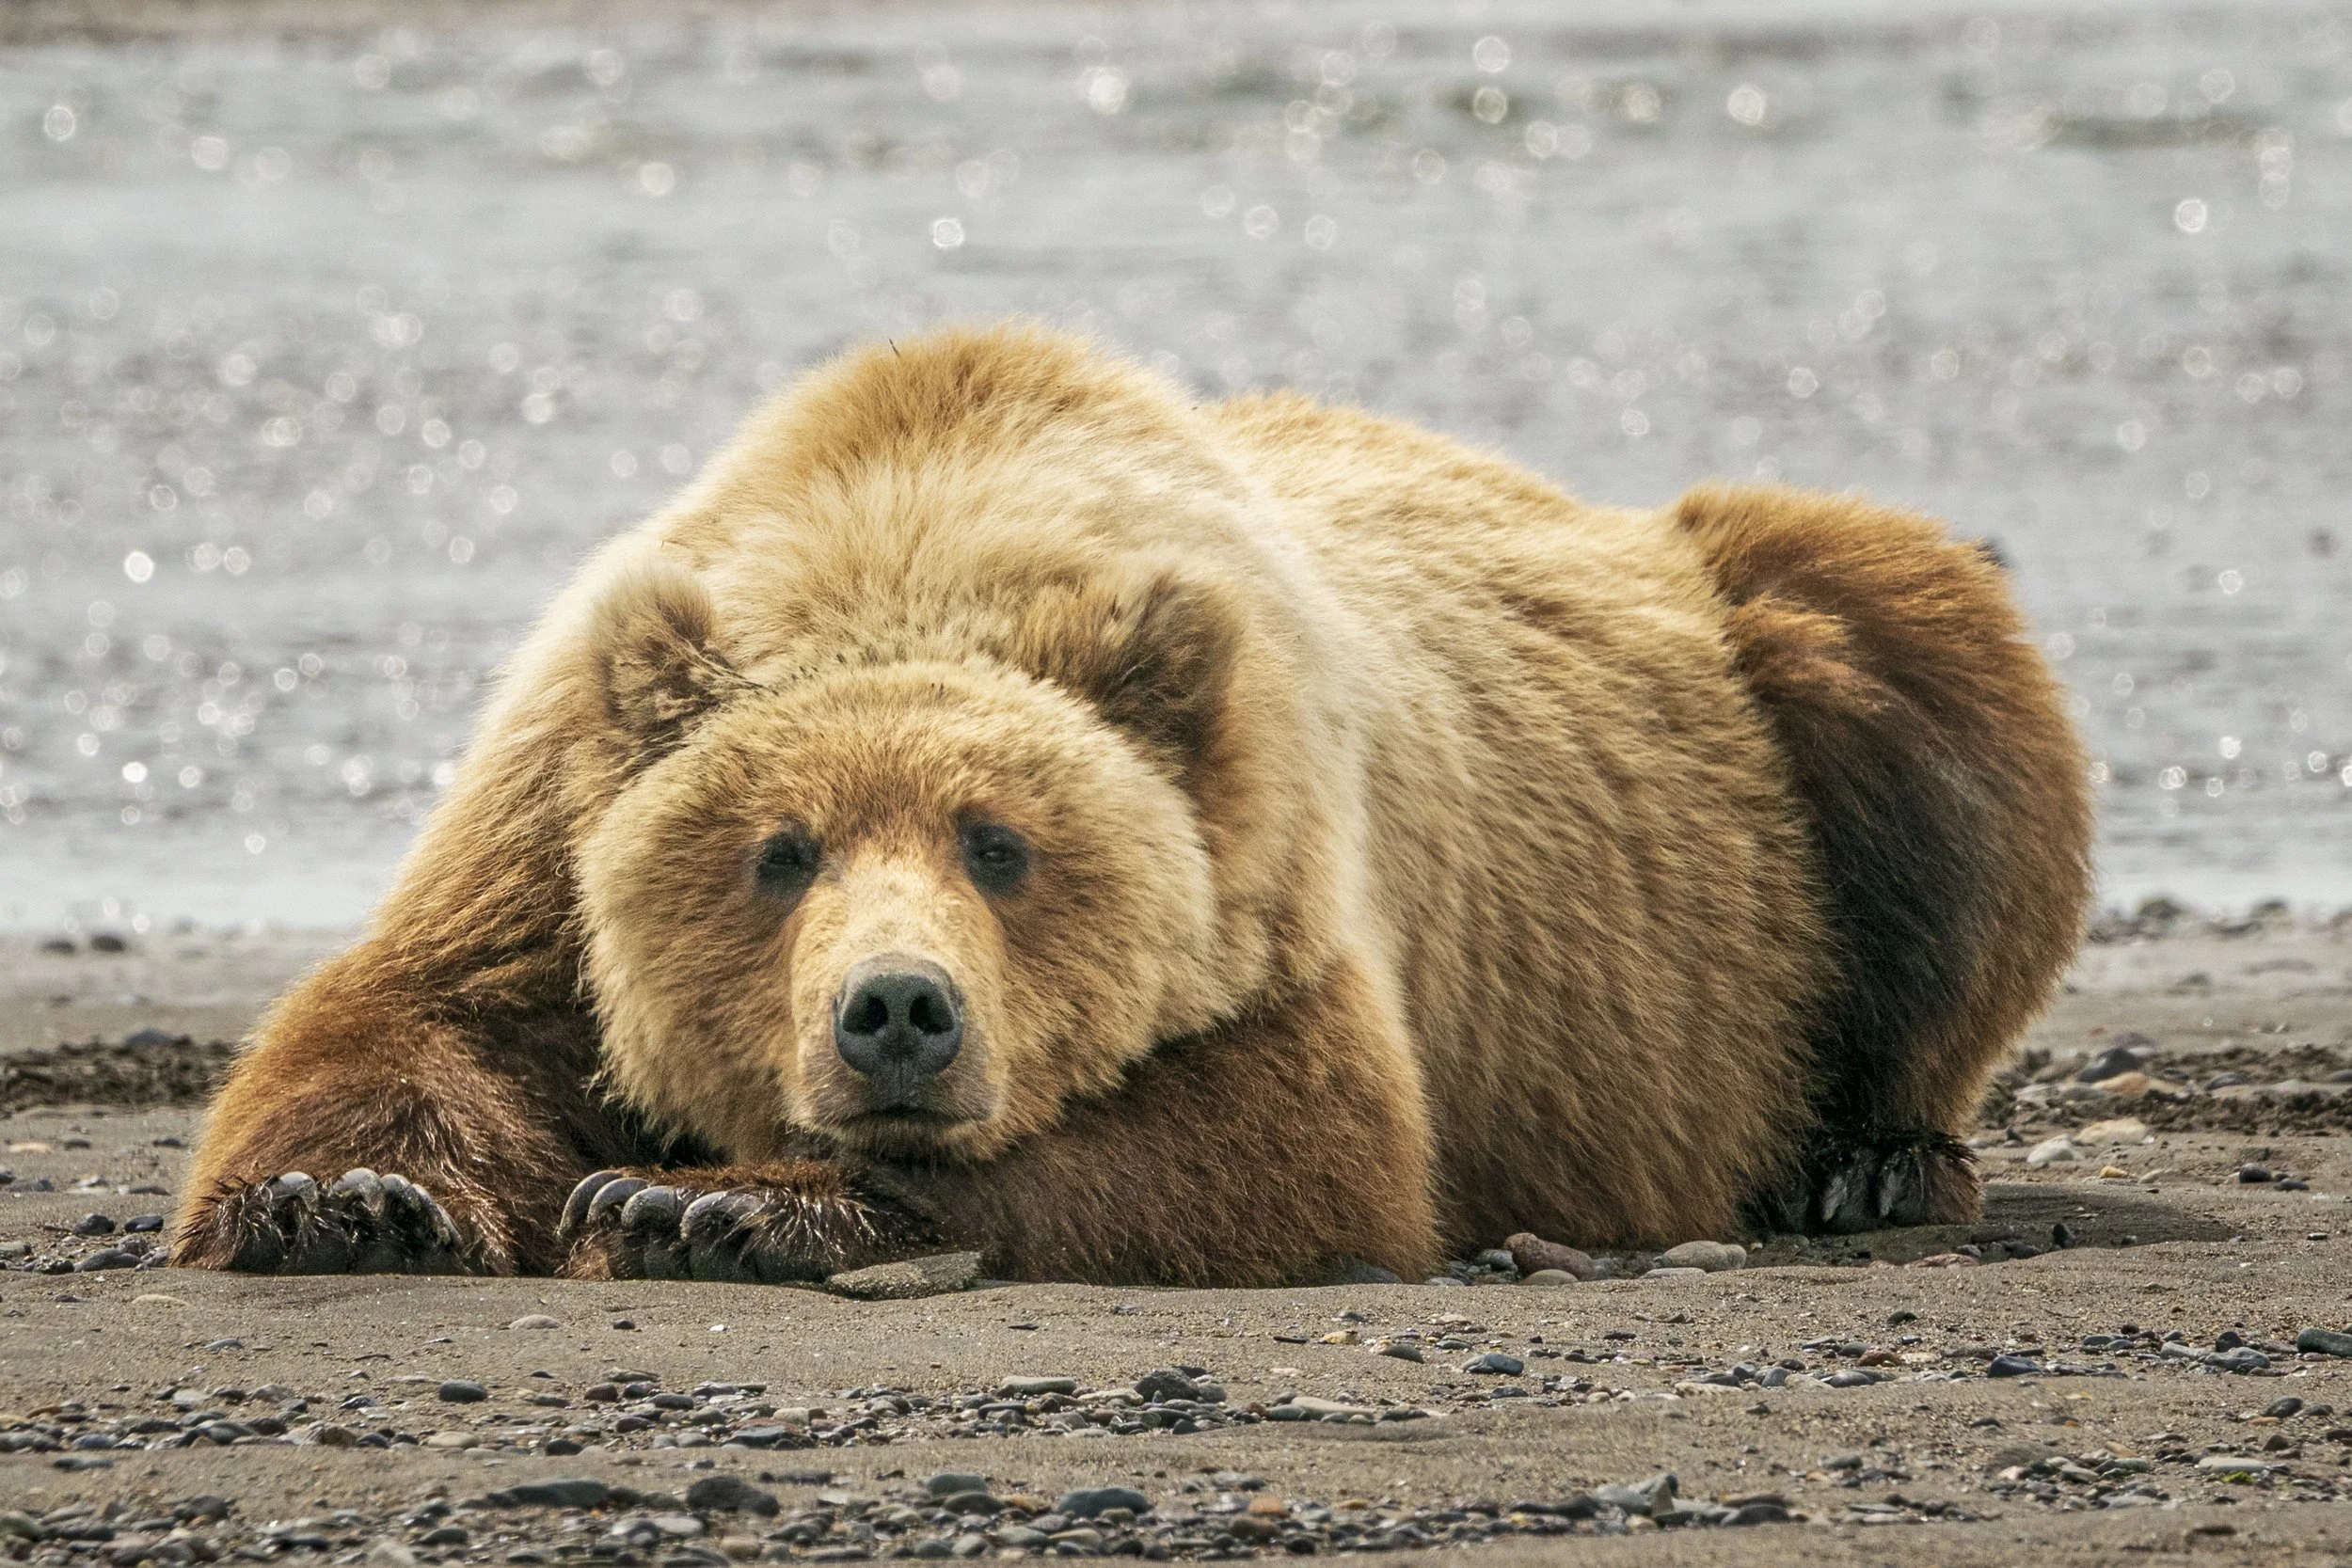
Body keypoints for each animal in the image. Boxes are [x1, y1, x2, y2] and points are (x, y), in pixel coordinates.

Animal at [171, 323, 2092, 1287]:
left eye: (1002, 843)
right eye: (778, 852)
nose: (897, 1012)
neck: (915, 521)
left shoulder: (1269, 855)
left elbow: (1287, 1132)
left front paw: (712, 1205)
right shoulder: (550, 812)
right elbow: (422, 1010)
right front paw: (345, 1197)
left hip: (1770, 709)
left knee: (1904, 646)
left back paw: (1867, 1157)